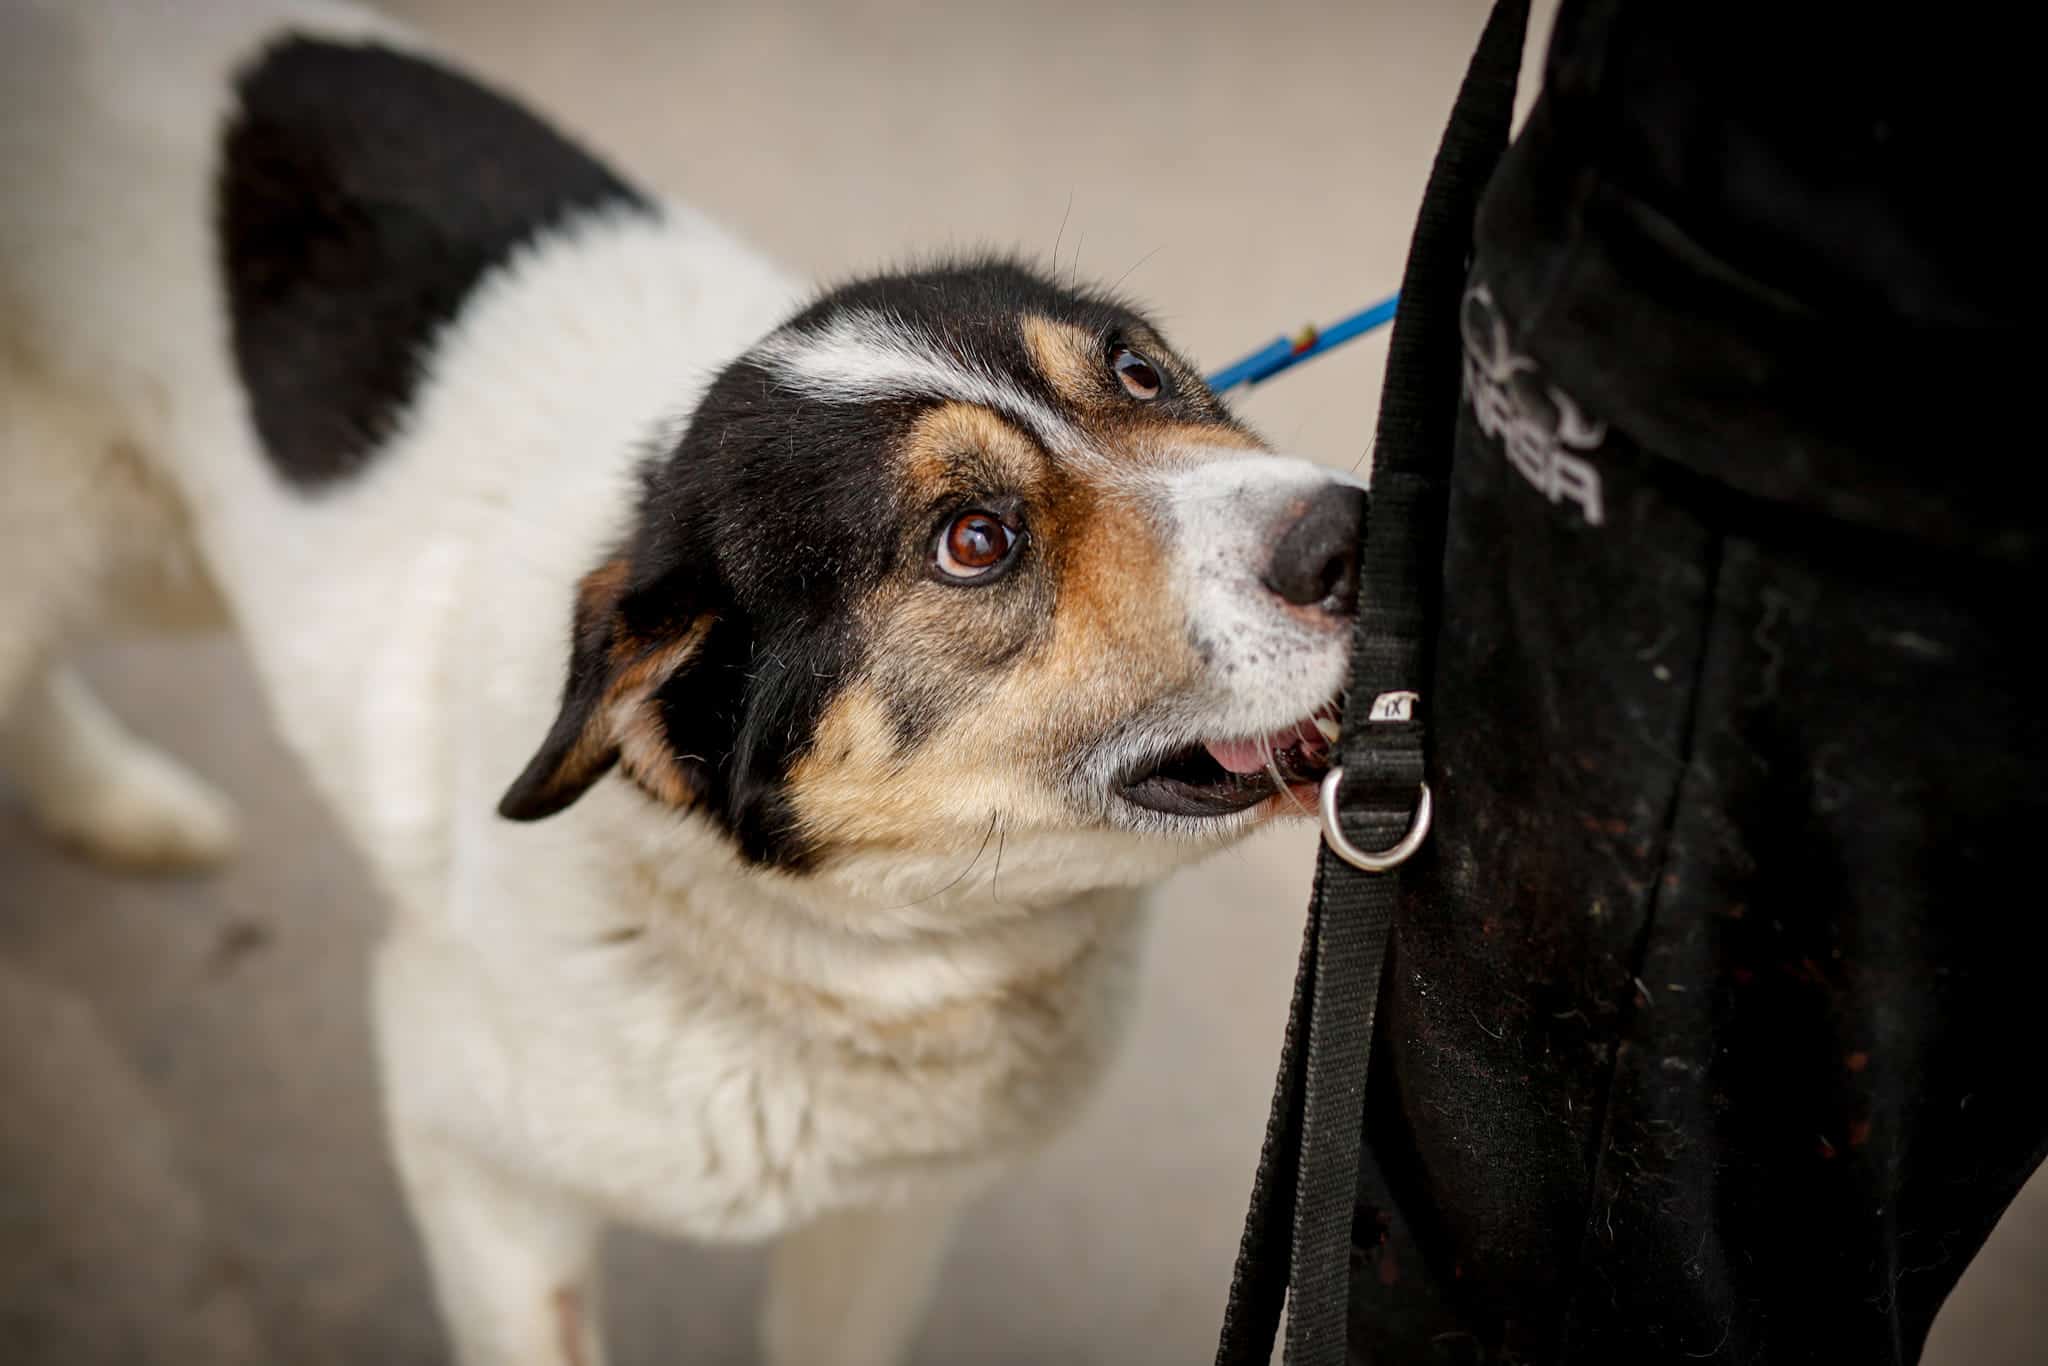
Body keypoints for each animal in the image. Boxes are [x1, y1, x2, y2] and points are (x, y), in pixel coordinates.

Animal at [0, 2, 1364, 1361]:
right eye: (973, 540)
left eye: (1137, 370)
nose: (1352, 531)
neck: (873, 948)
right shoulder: (471, 1156)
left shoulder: (887, 1216)